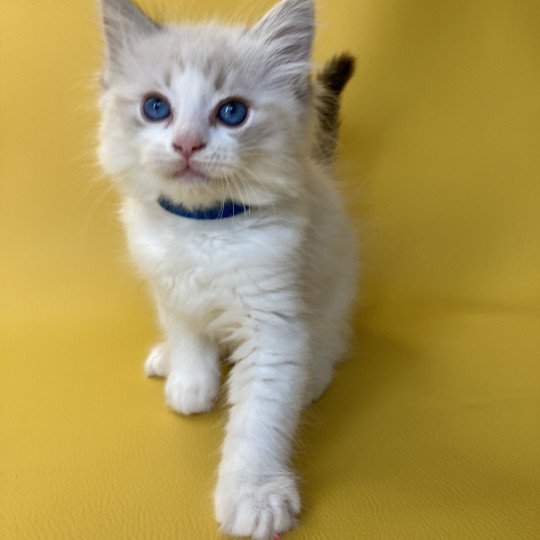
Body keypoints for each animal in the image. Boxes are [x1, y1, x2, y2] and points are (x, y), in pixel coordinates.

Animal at [97, 0, 358, 536]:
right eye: (156, 107)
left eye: (232, 112)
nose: (187, 144)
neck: (201, 229)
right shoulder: (167, 287)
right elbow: (187, 337)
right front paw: (190, 384)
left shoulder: (274, 326)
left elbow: (259, 421)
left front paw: (255, 496)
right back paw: (165, 361)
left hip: (334, 291)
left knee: (332, 343)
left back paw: (312, 380)